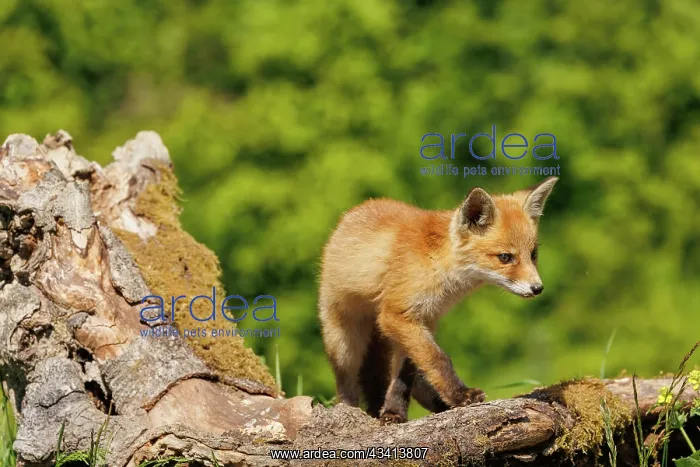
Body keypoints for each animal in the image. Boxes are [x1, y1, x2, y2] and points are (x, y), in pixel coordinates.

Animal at [318, 176, 558, 424]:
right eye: (505, 257)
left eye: (533, 254)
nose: (538, 288)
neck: (438, 263)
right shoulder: (397, 316)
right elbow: (438, 359)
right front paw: (461, 395)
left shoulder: (424, 320)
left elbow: (406, 377)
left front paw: (395, 411)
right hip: (344, 343)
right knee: (346, 383)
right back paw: (349, 409)